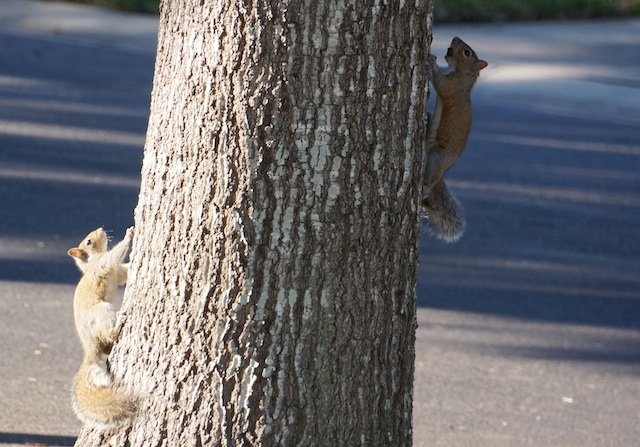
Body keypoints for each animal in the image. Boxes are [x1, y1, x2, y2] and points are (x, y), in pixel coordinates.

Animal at [67, 229, 135, 426]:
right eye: (88, 241)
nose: (101, 229)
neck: (90, 264)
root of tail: (89, 347)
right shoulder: (102, 264)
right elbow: (113, 256)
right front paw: (128, 236)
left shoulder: (118, 273)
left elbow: (125, 272)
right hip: (102, 310)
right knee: (109, 336)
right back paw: (118, 323)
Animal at [422, 36, 488, 243]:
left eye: (467, 52)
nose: (455, 38)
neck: (465, 76)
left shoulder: (454, 87)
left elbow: (443, 86)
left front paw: (432, 62)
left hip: (439, 158)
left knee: (432, 180)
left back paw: (425, 187)